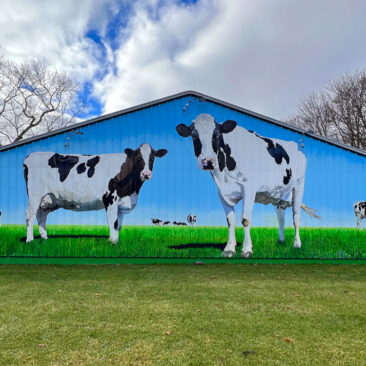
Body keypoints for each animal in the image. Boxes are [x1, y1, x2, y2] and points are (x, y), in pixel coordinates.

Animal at [22, 143, 166, 243]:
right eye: (138, 158)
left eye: (152, 158)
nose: (146, 174)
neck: (132, 190)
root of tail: (30, 156)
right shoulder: (110, 198)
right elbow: (112, 221)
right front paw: (112, 241)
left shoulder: (121, 203)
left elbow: (118, 224)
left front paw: (116, 241)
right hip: (35, 195)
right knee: (30, 214)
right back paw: (30, 240)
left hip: (49, 198)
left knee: (41, 215)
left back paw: (44, 238)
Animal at [176, 113, 318, 258]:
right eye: (194, 135)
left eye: (216, 134)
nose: (208, 162)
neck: (224, 176)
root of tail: (296, 147)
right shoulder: (221, 193)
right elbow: (230, 221)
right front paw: (229, 248)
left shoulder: (249, 190)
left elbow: (245, 219)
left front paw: (247, 249)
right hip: (279, 195)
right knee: (281, 217)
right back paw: (281, 241)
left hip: (299, 185)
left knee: (296, 216)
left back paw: (297, 243)